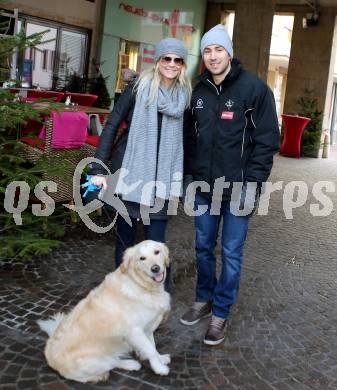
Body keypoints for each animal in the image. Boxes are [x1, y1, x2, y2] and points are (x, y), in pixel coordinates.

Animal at [37, 239, 171, 382]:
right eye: (142, 258)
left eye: (157, 252)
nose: (155, 268)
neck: (141, 285)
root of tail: (50, 359)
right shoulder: (135, 331)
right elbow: (150, 349)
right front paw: (159, 368)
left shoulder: (148, 327)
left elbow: (153, 345)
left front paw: (160, 358)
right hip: (93, 361)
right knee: (110, 363)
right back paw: (130, 364)